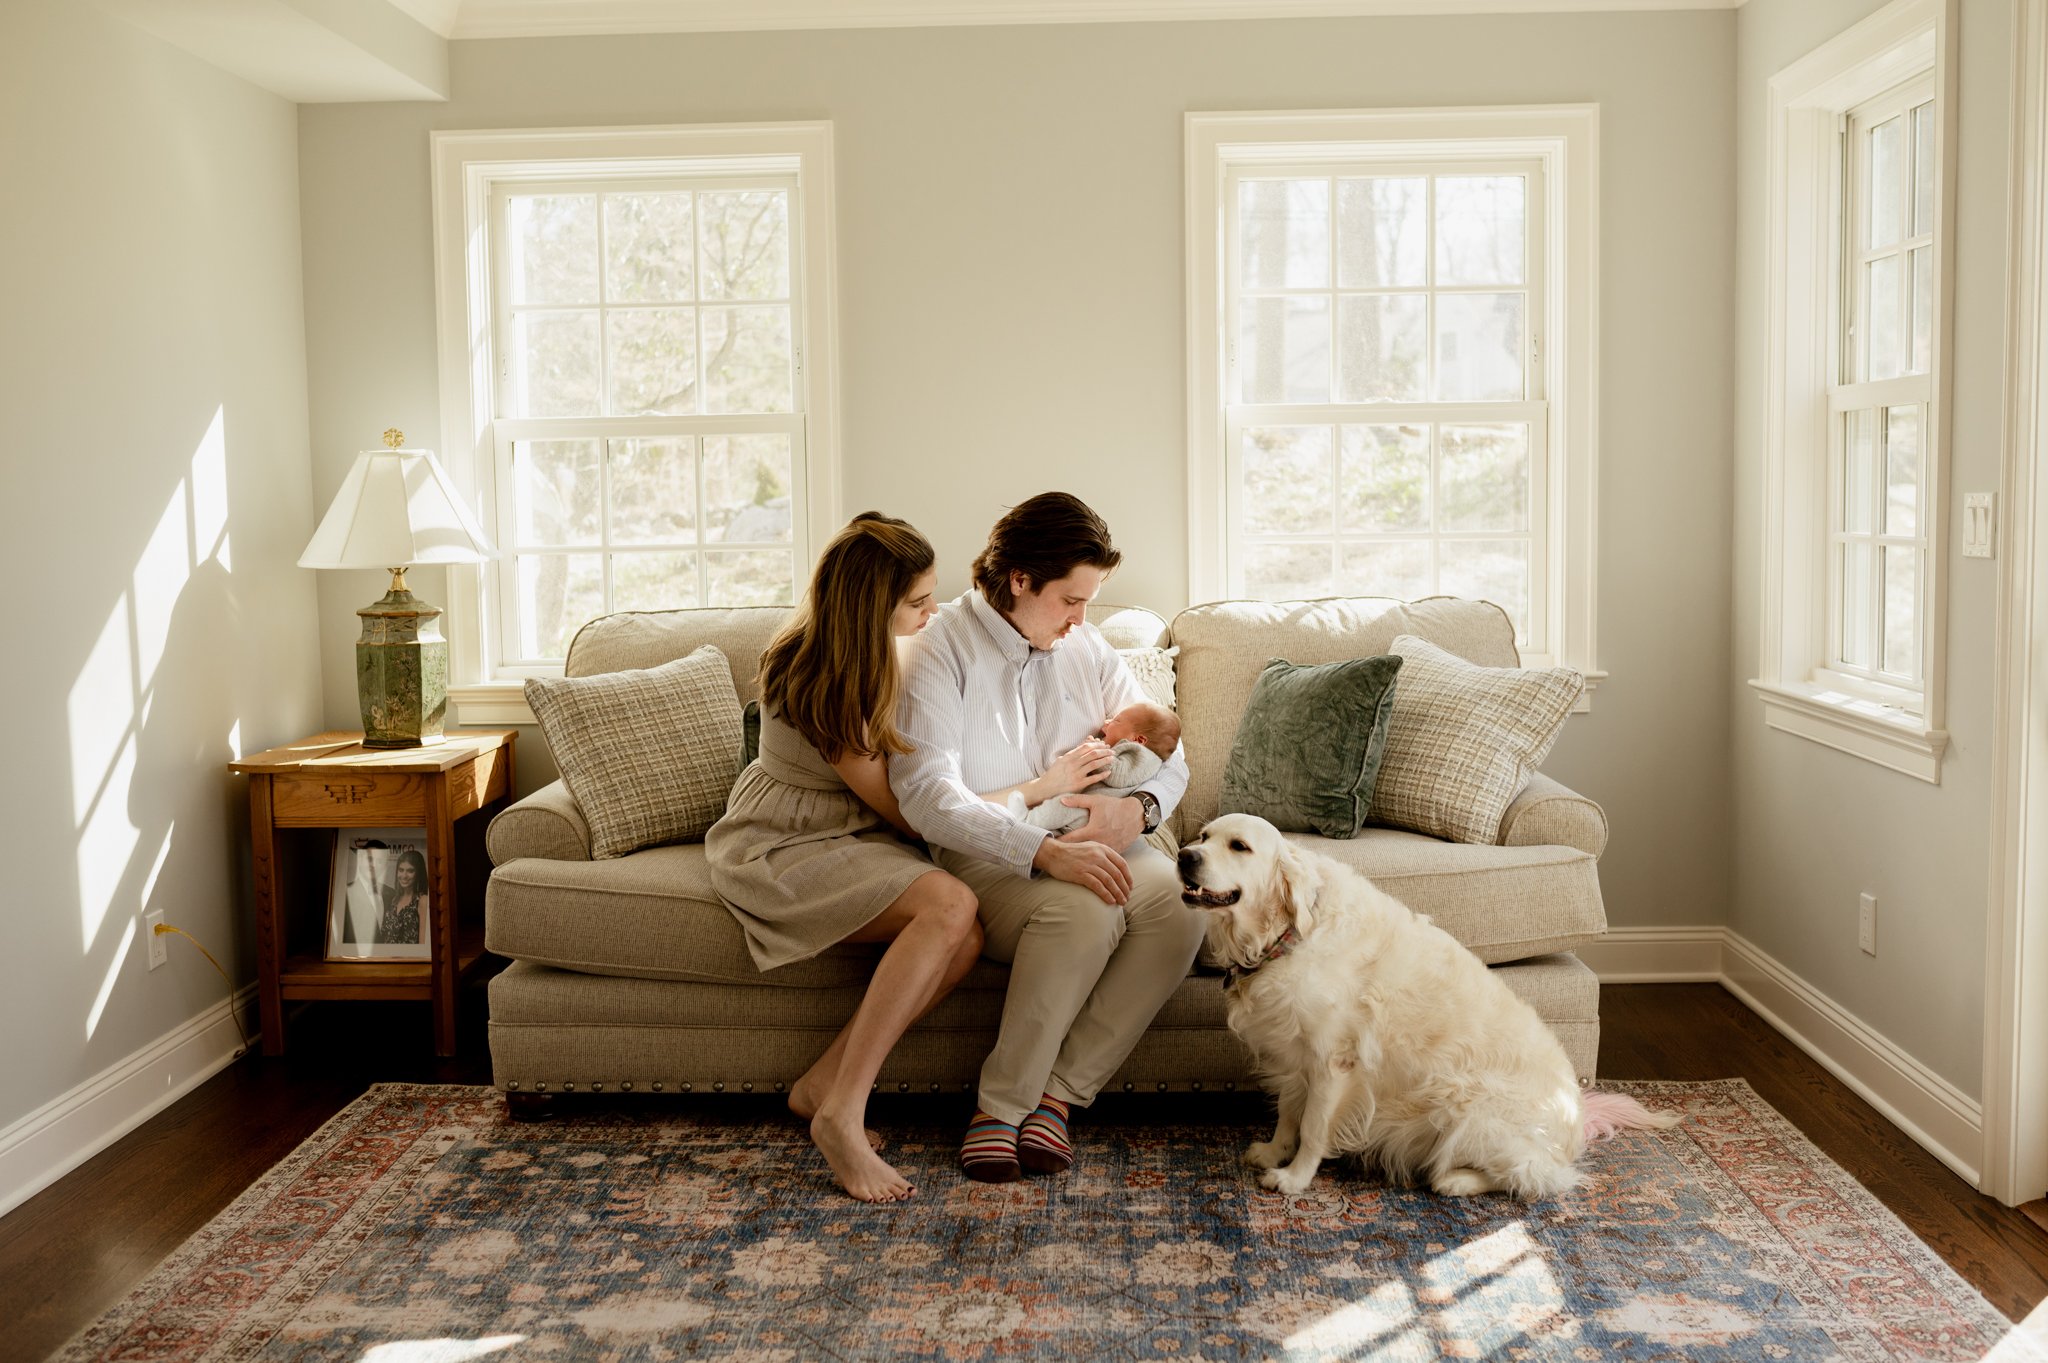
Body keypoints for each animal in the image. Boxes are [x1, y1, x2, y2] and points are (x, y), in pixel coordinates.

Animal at [1179, 810, 1671, 1195]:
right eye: (1203, 836)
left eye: (1239, 846)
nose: (1185, 856)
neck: (1290, 932)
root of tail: (1576, 1121)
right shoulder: (1294, 1050)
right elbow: (1287, 1113)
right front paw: (1272, 1153)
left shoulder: (1333, 1062)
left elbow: (1314, 1127)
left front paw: (1295, 1178)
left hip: (1468, 1104)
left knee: (1538, 1177)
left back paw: (1457, 1180)